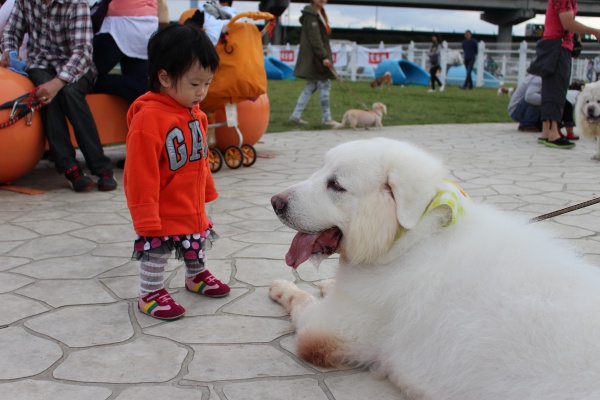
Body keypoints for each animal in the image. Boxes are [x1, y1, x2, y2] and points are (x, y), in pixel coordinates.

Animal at [270, 138, 600, 400]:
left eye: (336, 185)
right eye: (320, 170)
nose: (275, 201)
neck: (412, 240)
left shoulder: (322, 332)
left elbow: (301, 300)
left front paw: (284, 287)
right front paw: (326, 284)